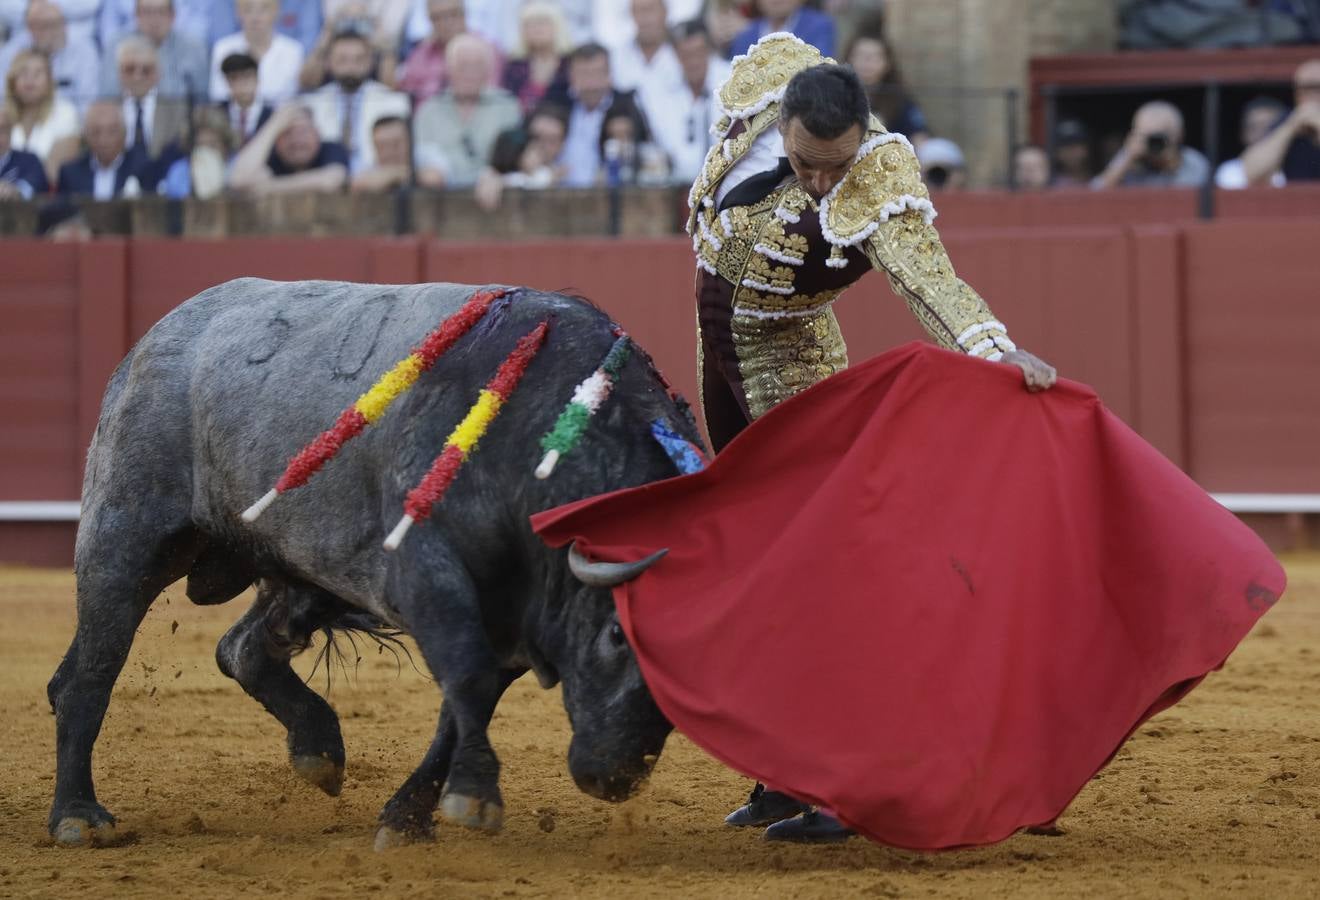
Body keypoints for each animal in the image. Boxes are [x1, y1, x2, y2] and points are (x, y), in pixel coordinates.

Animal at [46, 279, 696, 849]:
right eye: (617, 635)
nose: (612, 777)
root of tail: (152, 341)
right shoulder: (428, 575)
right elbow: (470, 678)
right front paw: (473, 798)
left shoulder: (507, 610)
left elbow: (467, 702)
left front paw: (408, 819)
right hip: (125, 538)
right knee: (88, 674)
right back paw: (77, 816)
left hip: (305, 566)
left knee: (242, 648)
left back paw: (318, 750)